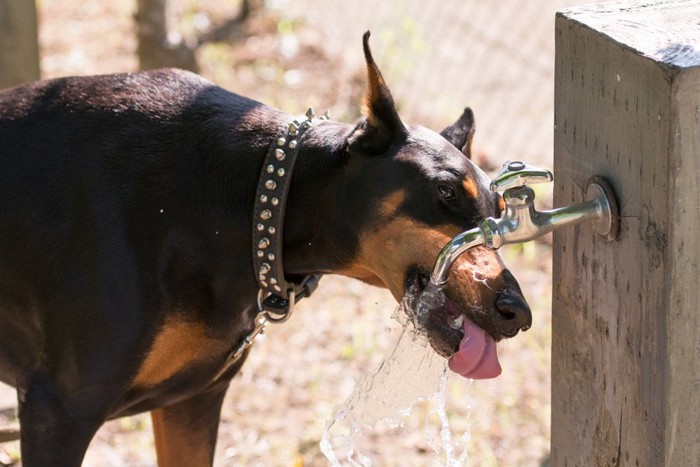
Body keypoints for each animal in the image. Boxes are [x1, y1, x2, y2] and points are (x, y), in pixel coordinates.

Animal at [0, 31, 528, 466]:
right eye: (445, 192)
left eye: (501, 211)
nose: (518, 313)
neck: (250, 203)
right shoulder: (60, 409)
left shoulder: (192, 401)